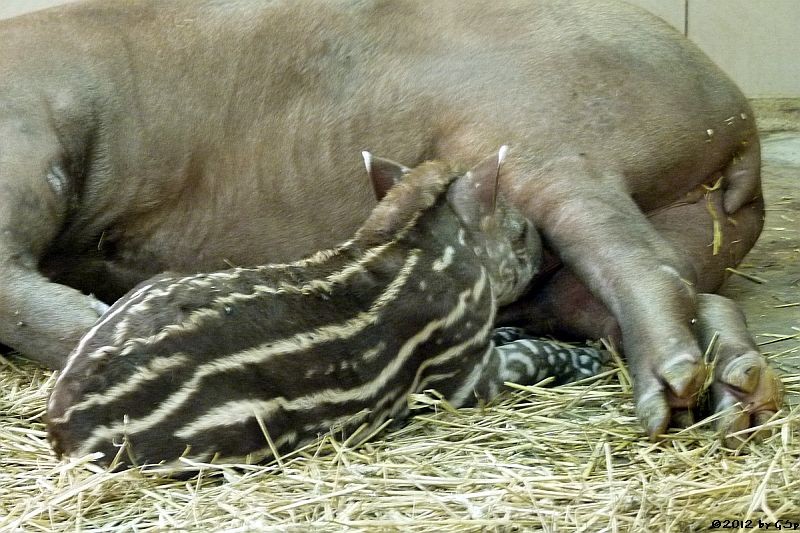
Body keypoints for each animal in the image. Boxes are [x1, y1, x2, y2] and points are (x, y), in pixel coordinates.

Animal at [0, 0, 780, 438]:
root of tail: (738, 131)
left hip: (548, 140)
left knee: (640, 262)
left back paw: (671, 400)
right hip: (626, 227)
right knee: (677, 287)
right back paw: (737, 399)